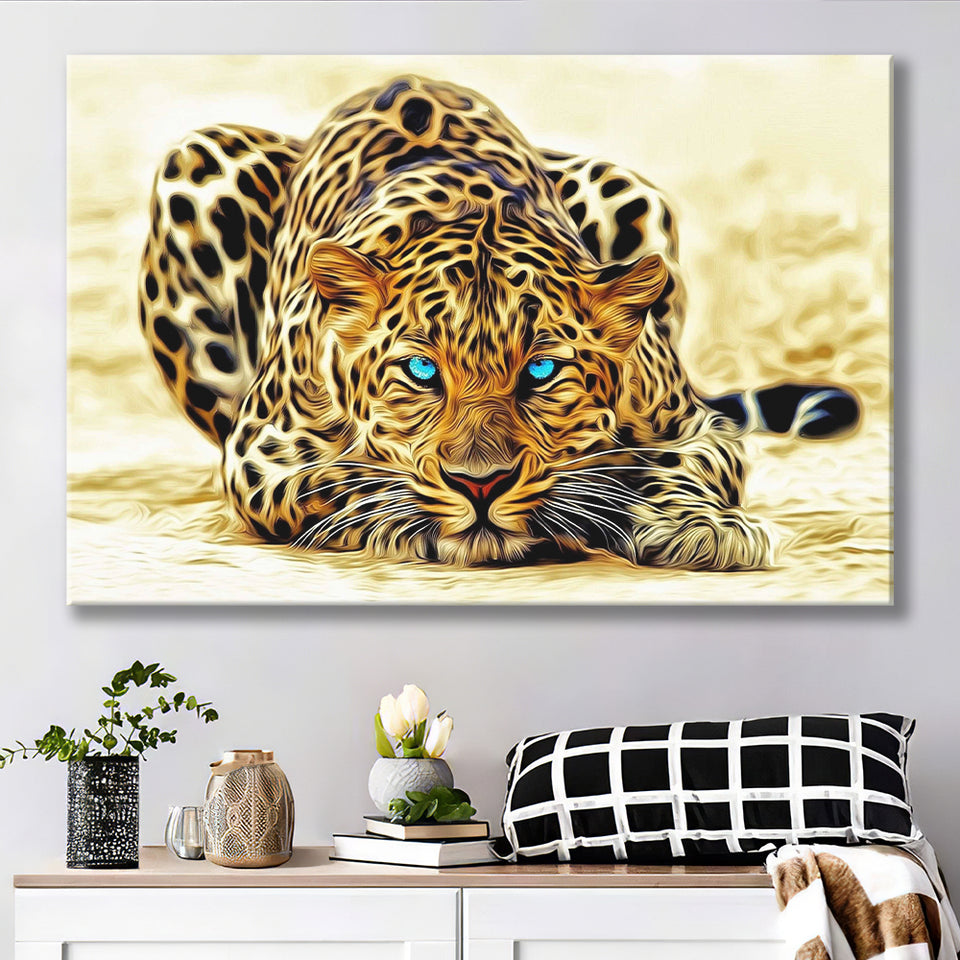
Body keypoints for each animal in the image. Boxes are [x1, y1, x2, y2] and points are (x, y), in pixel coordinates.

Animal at [138, 75, 859, 570]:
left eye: (541, 370)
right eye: (421, 370)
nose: (479, 484)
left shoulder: (693, 425)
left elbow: (680, 465)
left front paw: (701, 526)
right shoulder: (262, 450)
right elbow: (340, 481)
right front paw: (409, 520)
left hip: (628, 186)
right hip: (195, 162)